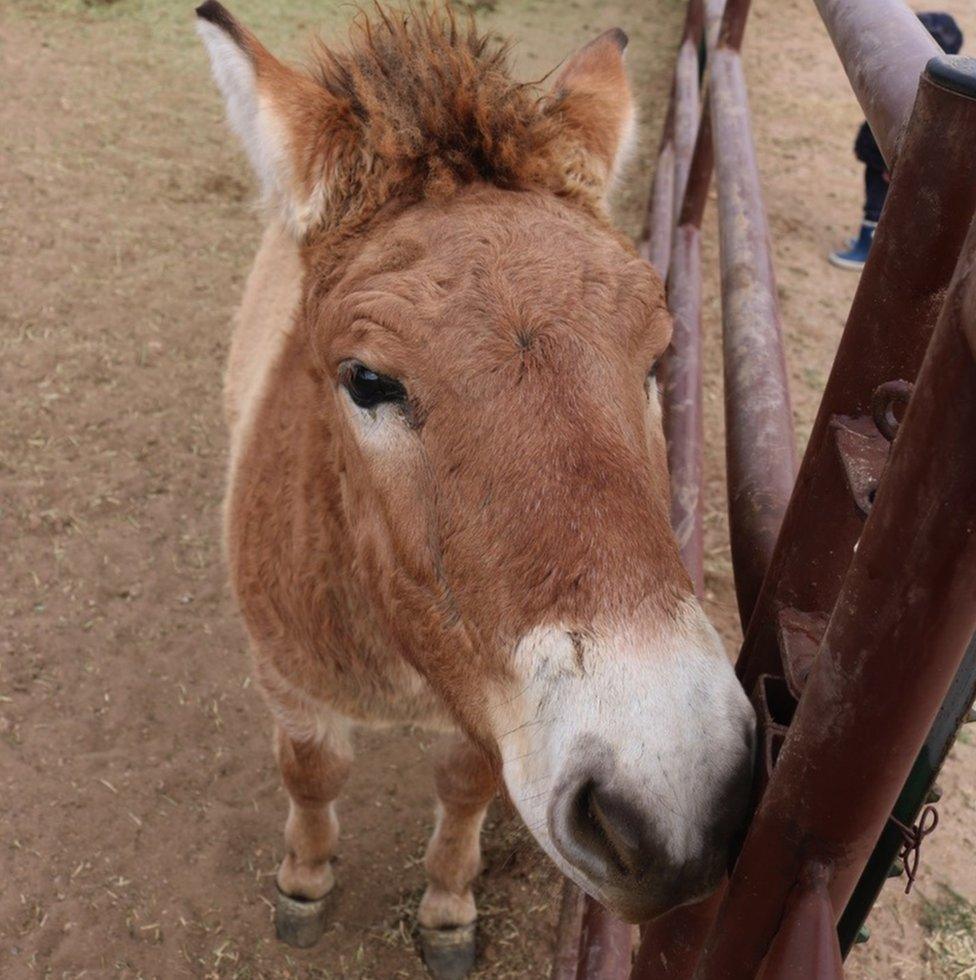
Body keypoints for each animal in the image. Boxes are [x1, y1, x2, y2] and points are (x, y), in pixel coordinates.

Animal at [196, 3, 756, 976]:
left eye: (659, 357)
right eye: (366, 380)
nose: (678, 800)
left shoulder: (490, 716)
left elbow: (464, 787)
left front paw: (448, 905)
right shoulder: (288, 681)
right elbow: (312, 772)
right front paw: (305, 880)